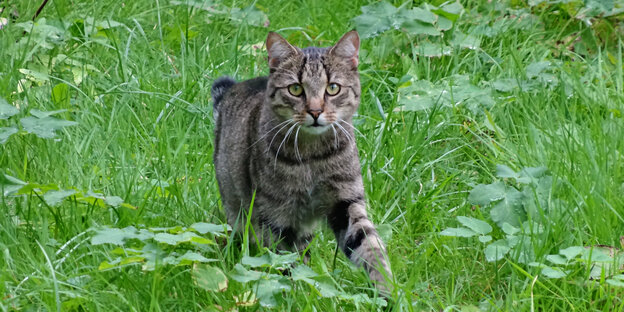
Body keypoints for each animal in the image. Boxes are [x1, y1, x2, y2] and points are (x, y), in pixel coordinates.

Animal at [212, 30, 392, 294]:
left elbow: (370, 246)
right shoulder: (274, 213)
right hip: (237, 206)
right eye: (295, 89)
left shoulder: (347, 201)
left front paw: (387, 289)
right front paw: (293, 292)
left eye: (333, 88)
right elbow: (281, 259)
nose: (315, 112)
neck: (313, 157)